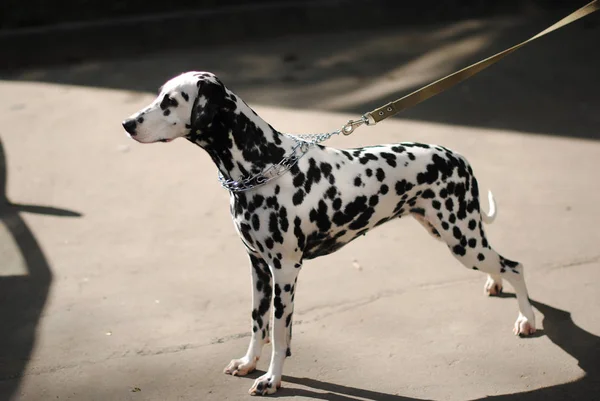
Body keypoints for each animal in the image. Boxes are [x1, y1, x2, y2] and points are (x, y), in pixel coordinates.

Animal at [120, 71, 536, 394]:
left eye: (170, 101)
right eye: (159, 94)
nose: (127, 124)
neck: (262, 162)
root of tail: (458, 158)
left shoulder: (285, 271)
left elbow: (280, 331)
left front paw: (272, 379)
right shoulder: (257, 266)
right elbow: (257, 322)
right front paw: (248, 362)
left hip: (462, 239)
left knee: (515, 265)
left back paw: (527, 320)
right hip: (453, 234)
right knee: (500, 265)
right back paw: (496, 285)